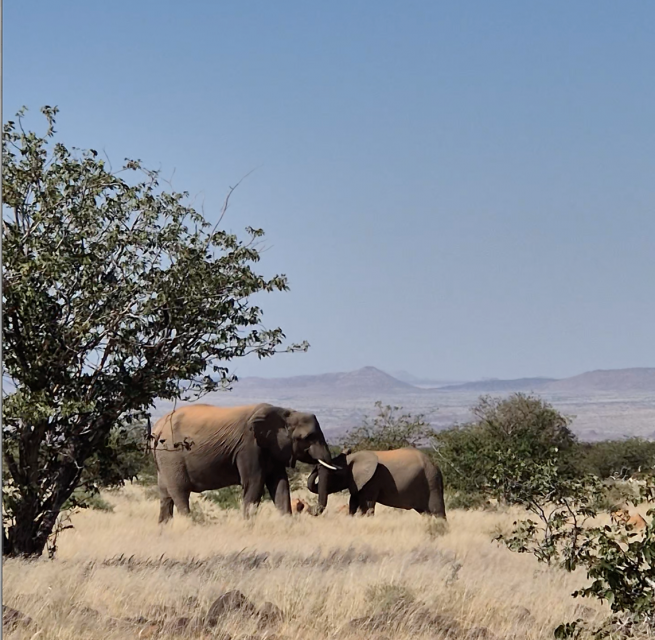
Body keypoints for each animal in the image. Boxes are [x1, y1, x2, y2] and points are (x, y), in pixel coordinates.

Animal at [151, 403, 336, 523]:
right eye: (307, 437)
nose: (308, 508)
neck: (285, 412)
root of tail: (157, 427)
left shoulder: (272, 447)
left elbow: (280, 484)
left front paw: (287, 524)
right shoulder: (249, 446)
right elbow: (254, 482)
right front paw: (248, 525)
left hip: (163, 458)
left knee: (165, 495)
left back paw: (164, 529)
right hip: (172, 455)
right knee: (180, 492)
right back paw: (190, 525)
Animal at [307, 447, 446, 518]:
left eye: (334, 474)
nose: (309, 509)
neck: (353, 458)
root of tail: (435, 465)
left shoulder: (372, 481)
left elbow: (367, 506)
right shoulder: (357, 482)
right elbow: (353, 504)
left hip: (431, 481)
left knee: (437, 511)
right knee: (426, 513)